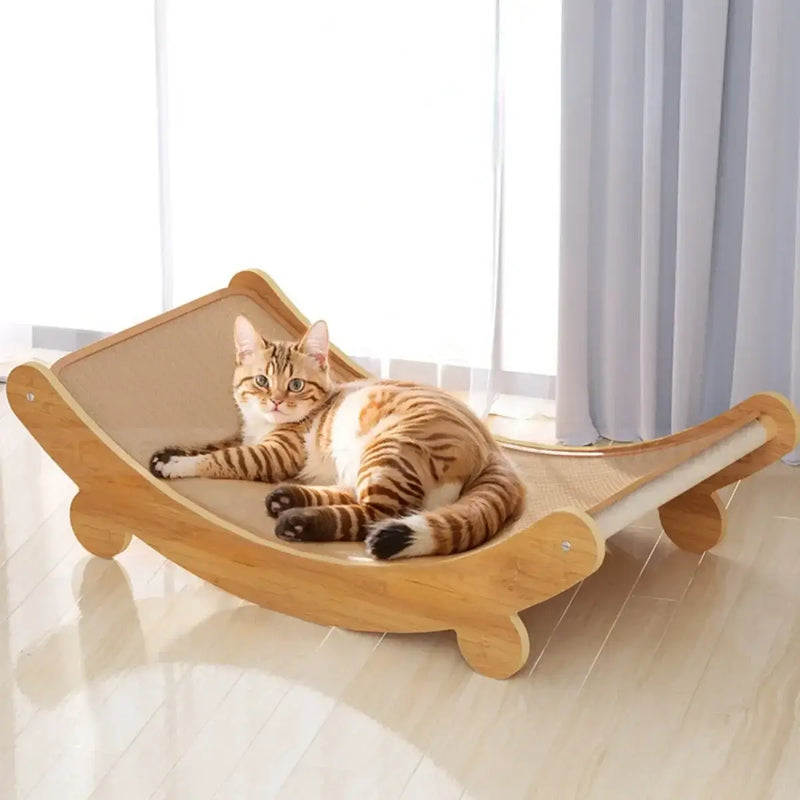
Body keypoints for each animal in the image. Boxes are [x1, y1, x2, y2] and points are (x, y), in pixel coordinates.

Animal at [150, 316, 524, 560]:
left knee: (374, 512)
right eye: (261, 381)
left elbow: (225, 457)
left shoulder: (275, 453)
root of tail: (493, 449)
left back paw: (298, 522)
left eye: (295, 385)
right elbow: (220, 444)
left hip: (387, 449)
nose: (276, 401)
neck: (263, 424)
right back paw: (288, 500)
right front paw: (170, 453)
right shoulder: (249, 436)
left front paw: (178, 464)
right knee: (350, 494)